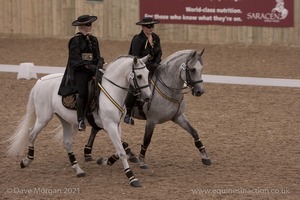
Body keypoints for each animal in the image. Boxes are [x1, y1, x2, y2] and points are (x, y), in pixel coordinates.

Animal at [6, 55, 152, 188]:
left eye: (148, 74)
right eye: (139, 76)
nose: (148, 97)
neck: (112, 91)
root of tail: (40, 81)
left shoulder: (115, 125)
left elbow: (122, 147)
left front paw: (105, 161)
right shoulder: (109, 125)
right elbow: (121, 151)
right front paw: (132, 178)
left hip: (64, 119)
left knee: (67, 142)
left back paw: (78, 169)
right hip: (43, 118)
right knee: (31, 134)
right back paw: (26, 161)